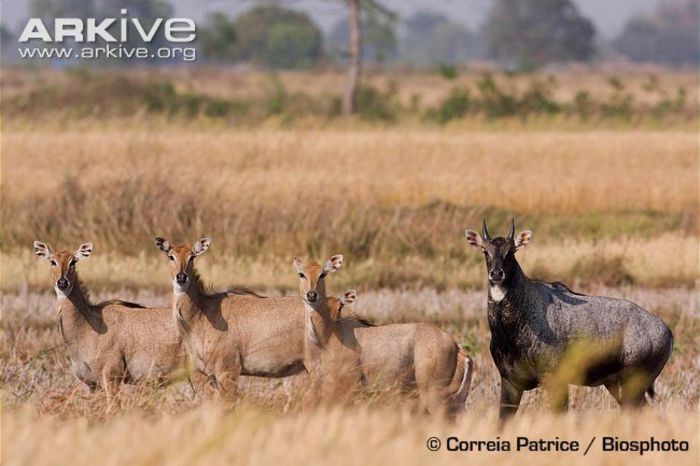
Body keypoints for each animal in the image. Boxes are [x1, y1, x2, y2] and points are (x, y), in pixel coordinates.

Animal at [32, 240, 186, 396]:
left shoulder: (112, 376)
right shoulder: (92, 384)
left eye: (73, 262)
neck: (87, 326)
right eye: (52, 261)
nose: (62, 282)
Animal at [292, 256, 474, 416]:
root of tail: (457, 346)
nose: (312, 295)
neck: (328, 336)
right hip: (454, 399)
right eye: (301, 274)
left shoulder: (346, 386)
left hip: (434, 394)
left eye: (323, 273)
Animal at [464, 220, 672, 420]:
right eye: (485, 251)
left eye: (511, 251)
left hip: (634, 384)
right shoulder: (510, 382)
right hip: (616, 385)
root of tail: (668, 332)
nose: (496, 274)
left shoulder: (555, 379)